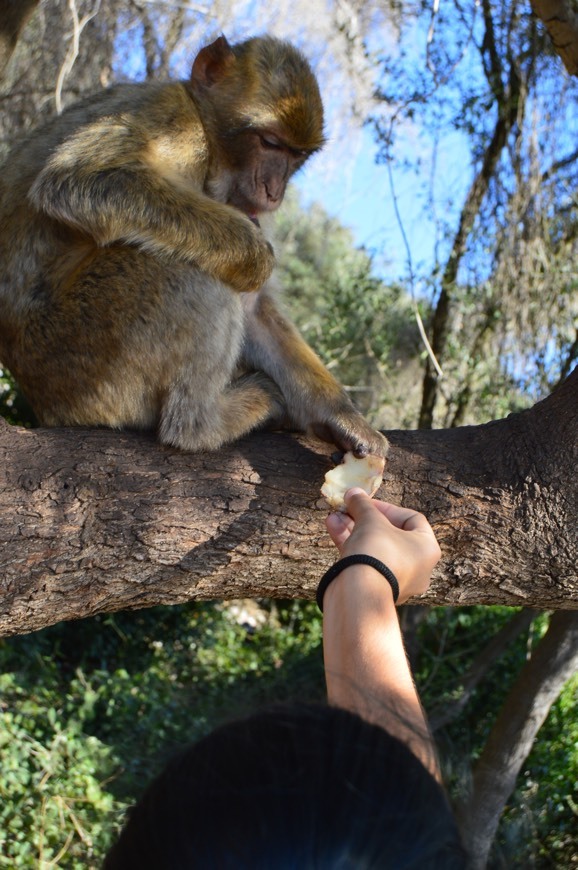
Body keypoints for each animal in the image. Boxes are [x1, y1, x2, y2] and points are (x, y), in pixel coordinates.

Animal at [0, 34, 388, 460]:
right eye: (269, 142)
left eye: (295, 155)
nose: (273, 190)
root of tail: (43, 402)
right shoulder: (171, 119)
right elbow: (77, 181)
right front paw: (255, 256)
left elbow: (256, 308)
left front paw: (342, 418)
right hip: (79, 361)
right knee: (189, 271)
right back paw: (202, 425)